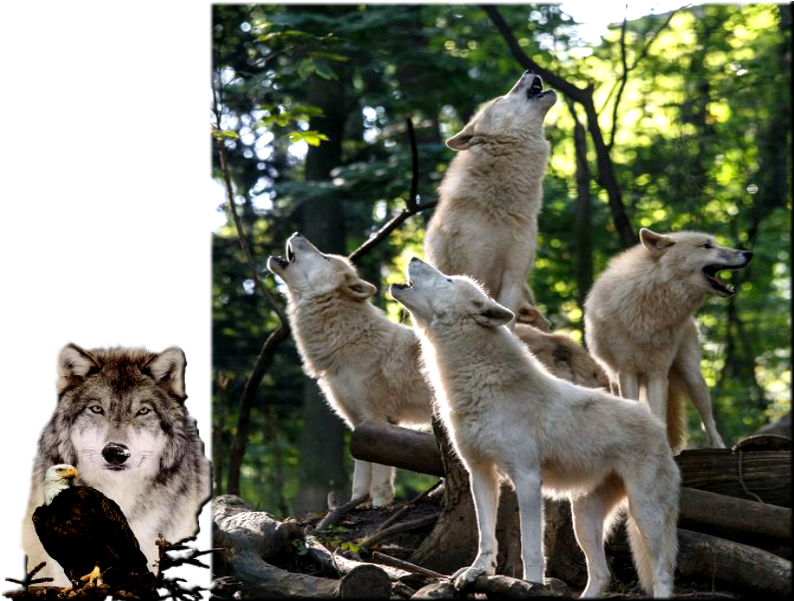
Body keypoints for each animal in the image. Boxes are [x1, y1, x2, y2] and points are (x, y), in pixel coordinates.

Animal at [267, 233, 432, 507]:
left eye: (324, 256)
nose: (297, 234)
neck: (348, 340)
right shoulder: (358, 425)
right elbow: (360, 475)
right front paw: (356, 504)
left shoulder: (379, 419)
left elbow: (380, 476)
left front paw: (380, 505)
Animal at [391, 258, 680, 598]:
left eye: (448, 280)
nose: (413, 259)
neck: (481, 384)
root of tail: (657, 427)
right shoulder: (480, 473)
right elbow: (485, 535)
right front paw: (476, 572)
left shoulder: (527, 479)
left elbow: (530, 548)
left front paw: (529, 585)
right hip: (584, 518)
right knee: (601, 574)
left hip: (644, 513)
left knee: (662, 573)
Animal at [584, 228, 753, 451]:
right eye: (706, 246)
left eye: (716, 243)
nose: (748, 253)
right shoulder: (627, 371)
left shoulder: (657, 373)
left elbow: (659, 415)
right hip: (614, 380)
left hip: (692, 377)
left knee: (708, 418)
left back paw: (719, 446)